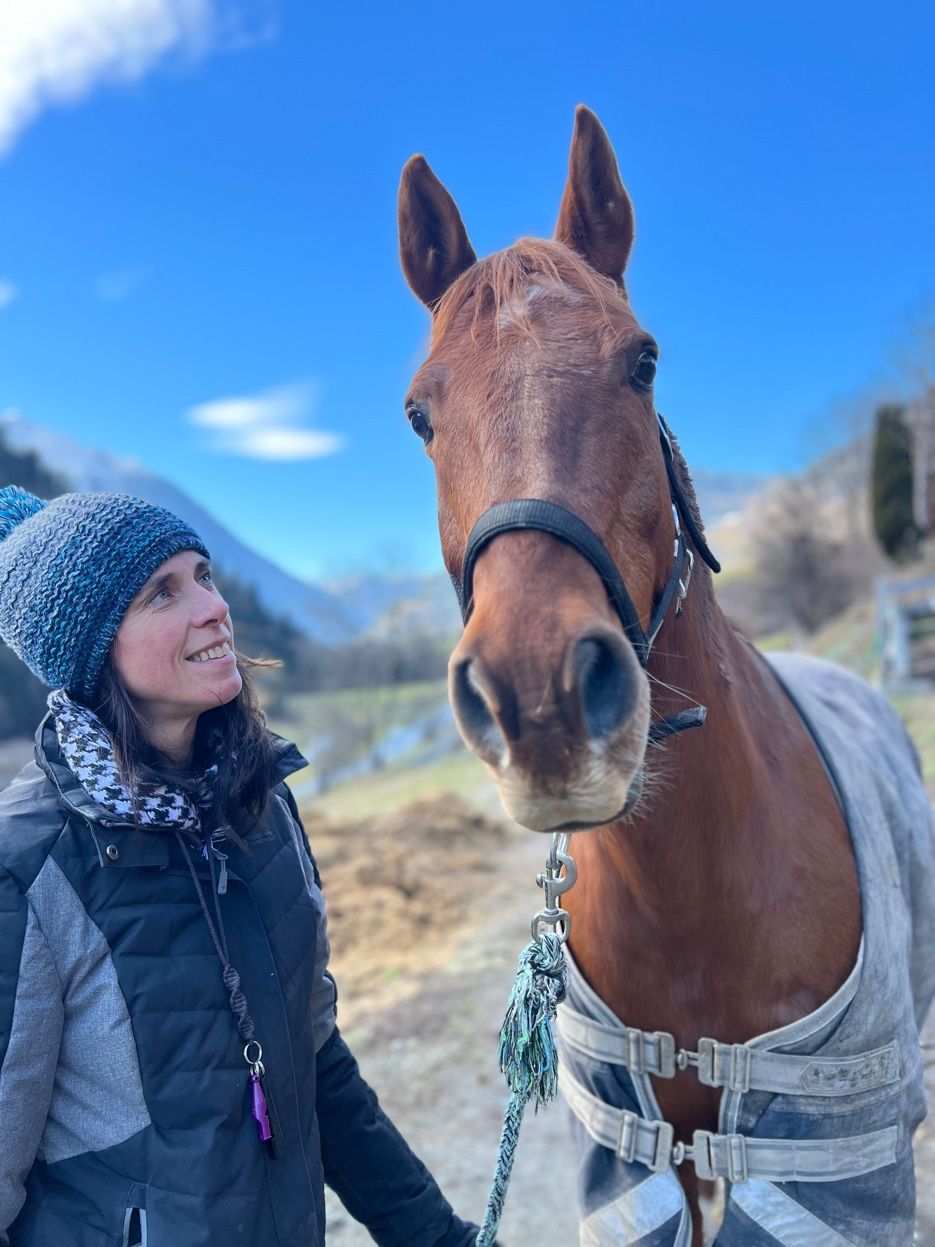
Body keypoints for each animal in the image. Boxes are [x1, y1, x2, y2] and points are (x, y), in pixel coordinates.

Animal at [396, 106, 935, 1245]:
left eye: (640, 362)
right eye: (419, 413)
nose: (541, 698)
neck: (693, 896)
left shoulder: (824, 1160)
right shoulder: (640, 1155)